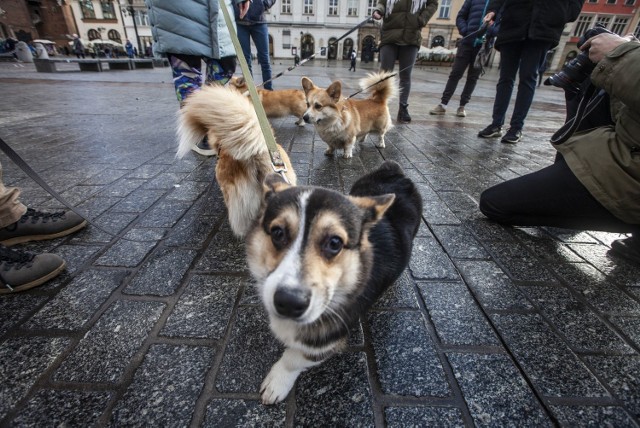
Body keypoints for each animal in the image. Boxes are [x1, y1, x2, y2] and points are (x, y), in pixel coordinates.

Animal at [248, 160, 422, 404]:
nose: (289, 303)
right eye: (277, 233)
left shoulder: (327, 342)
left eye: (335, 243)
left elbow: (294, 358)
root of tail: (394, 169)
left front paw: (277, 383)